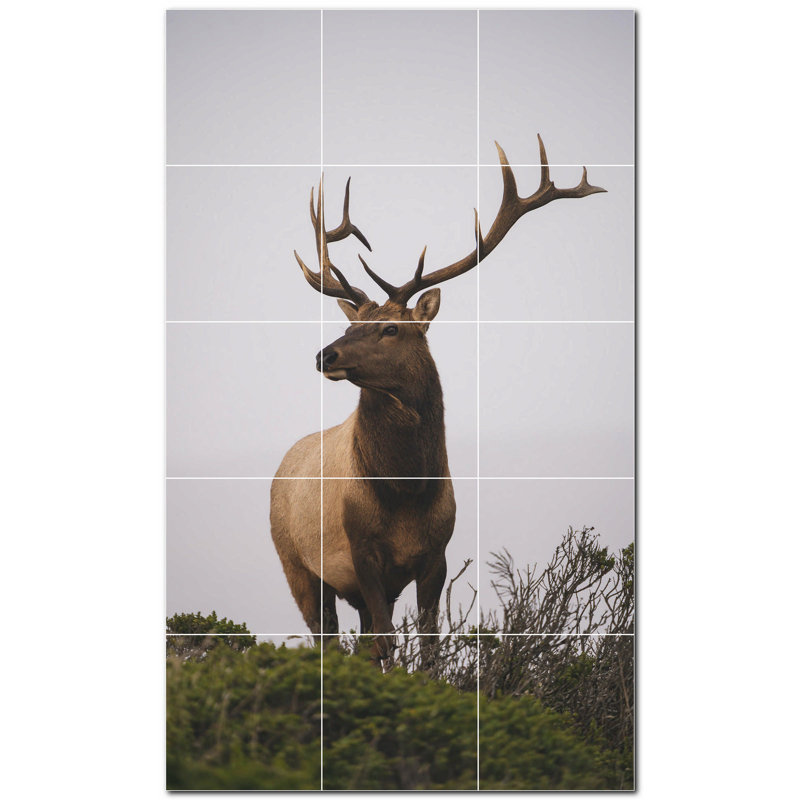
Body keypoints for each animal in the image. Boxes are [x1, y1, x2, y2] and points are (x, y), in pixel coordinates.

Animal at [270, 135, 605, 660]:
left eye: (391, 328)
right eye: (351, 324)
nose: (326, 353)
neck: (407, 491)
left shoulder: (437, 556)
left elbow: (427, 645)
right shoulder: (361, 551)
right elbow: (386, 642)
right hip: (296, 565)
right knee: (328, 637)